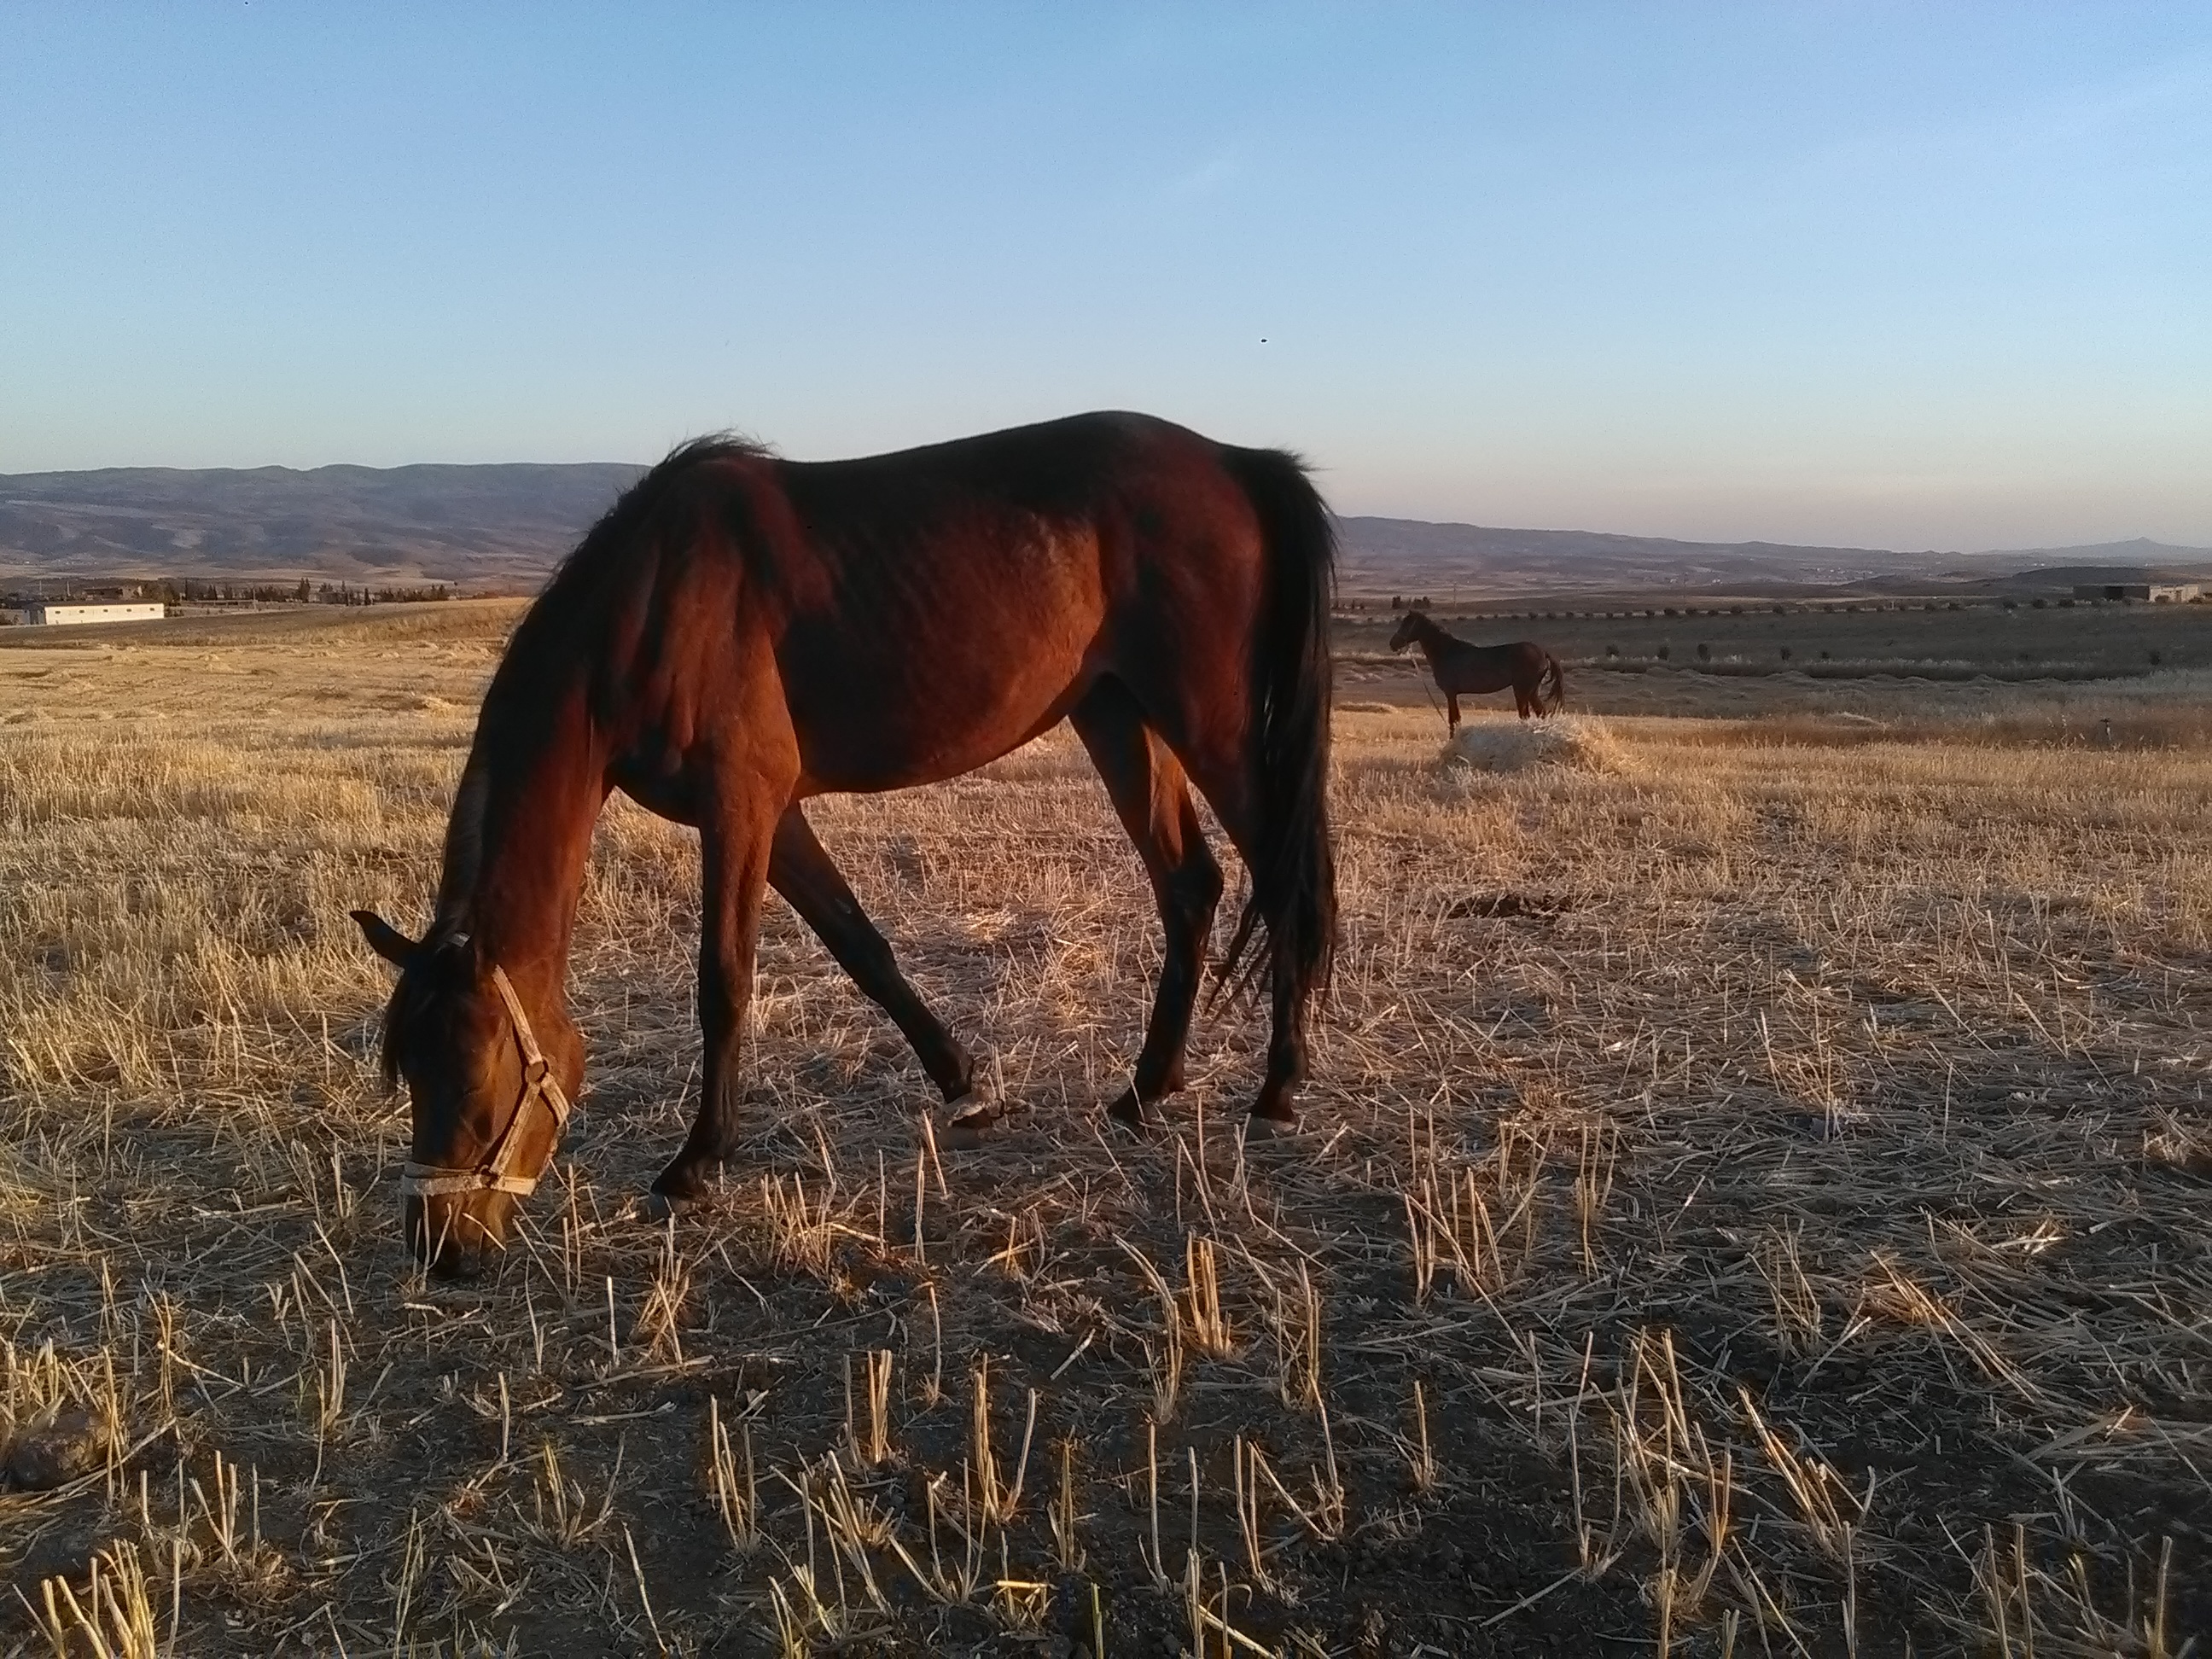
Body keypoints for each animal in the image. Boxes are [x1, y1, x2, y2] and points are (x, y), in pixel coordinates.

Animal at [353, 416, 1336, 1273]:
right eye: (410, 1074)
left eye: (477, 1083)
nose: (441, 1252)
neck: (653, 602)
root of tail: (1234, 461)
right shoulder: (776, 814)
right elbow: (861, 945)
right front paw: (966, 1087)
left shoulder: (740, 805)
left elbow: (724, 979)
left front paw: (698, 1163)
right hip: (1118, 715)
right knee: (1190, 885)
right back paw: (1146, 1089)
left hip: (1207, 724)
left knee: (1285, 879)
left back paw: (1280, 1086)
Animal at [1388, 610, 1566, 725]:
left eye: (1406, 624)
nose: (1392, 644)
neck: (1447, 652)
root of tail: (1542, 652)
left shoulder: (1450, 693)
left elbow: (1453, 720)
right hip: (1530, 690)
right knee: (1537, 713)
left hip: (1523, 690)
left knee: (1531, 714)